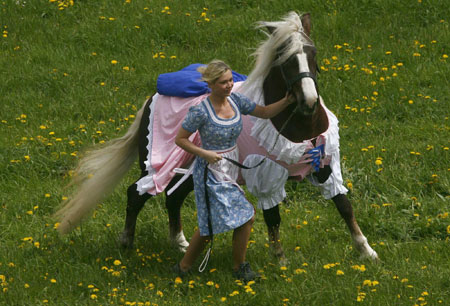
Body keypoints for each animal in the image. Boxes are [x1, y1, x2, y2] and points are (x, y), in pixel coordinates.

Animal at [54, 11, 378, 262]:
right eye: (284, 60)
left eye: (313, 54)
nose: (309, 101)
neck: (295, 126)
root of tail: (153, 96)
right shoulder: (267, 174)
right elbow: (273, 216)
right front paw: (280, 260)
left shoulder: (325, 164)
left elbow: (344, 205)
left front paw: (367, 252)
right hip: (158, 163)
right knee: (136, 193)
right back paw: (126, 242)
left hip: (191, 166)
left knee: (172, 197)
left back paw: (180, 242)